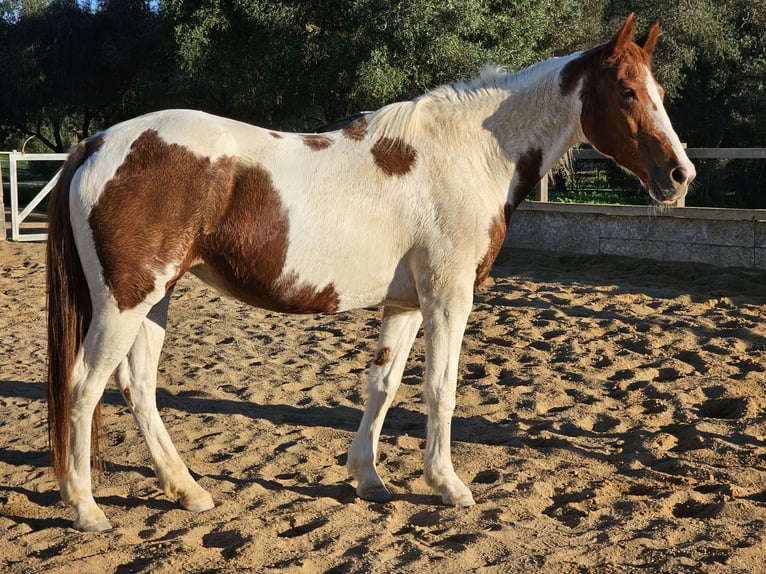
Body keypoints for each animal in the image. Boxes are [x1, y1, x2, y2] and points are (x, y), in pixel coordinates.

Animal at [46, 14, 696, 536]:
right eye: (628, 91)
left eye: (660, 91)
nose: (680, 174)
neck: (469, 153)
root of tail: (98, 141)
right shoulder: (447, 299)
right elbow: (440, 388)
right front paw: (448, 485)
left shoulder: (405, 304)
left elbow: (382, 387)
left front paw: (369, 479)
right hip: (125, 301)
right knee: (85, 386)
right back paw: (87, 509)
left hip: (155, 299)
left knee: (138, 387)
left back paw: (188, 491)